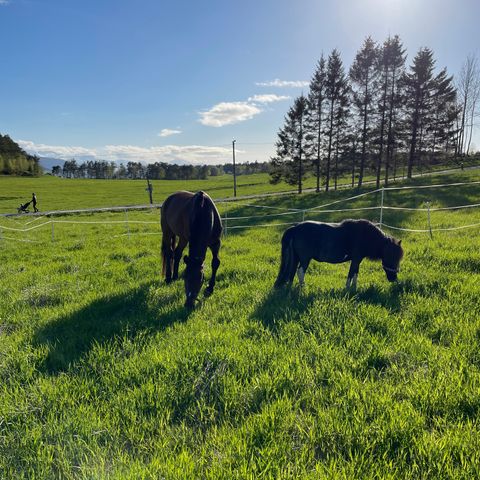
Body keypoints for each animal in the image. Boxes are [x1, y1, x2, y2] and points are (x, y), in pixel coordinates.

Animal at [276, 219, 404, 290]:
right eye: (391, 256)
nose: (393, 279)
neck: (365, 235)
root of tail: (295, 228)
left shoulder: (358, 260)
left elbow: (355, 273)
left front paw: (355, 289)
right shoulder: (356, 259)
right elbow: (351, 274)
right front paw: (347, 289)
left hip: (296, 258)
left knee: (291, 273)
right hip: (304, 258)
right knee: (300, 271)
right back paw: (303, 288)